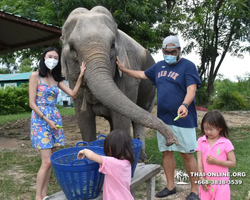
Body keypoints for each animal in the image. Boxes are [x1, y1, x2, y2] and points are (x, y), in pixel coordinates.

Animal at [60, 5, 178, 160]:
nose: (172, 140)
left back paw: (142, 158)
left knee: (140, 116)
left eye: (112, 45)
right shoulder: (73, 81)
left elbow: (122, 119)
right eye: (72, 48)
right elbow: (84, 119)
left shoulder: (129, 77)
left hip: (152, 92)